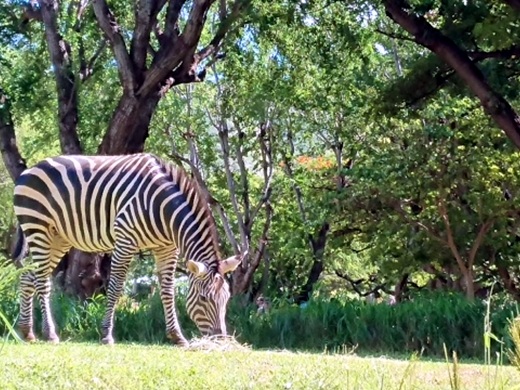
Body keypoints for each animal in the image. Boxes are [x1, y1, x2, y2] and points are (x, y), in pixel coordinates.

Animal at [10, 154, 242, 346]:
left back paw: (27, 331)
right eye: (203, 299)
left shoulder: (167, 248)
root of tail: (28, 170)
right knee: (41, 281)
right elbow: (115, 287)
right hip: (38, 228)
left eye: (226, 299)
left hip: (59, 238)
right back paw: (49, 334)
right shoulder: (125, 241)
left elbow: (168, 291)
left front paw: (177, 337)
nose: (221, 339)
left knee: (28, 277)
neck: (165, 210)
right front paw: (106, 334)